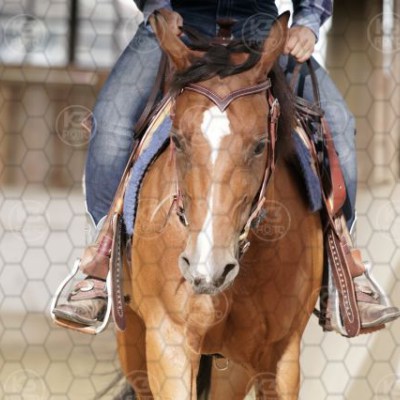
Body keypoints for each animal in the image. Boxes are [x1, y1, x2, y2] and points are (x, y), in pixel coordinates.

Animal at [117, 11, 323, 399]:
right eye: (177, 140)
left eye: (259, 146)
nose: (207, 269)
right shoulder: (168, 343)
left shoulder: (282, 356)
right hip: (134, 342)